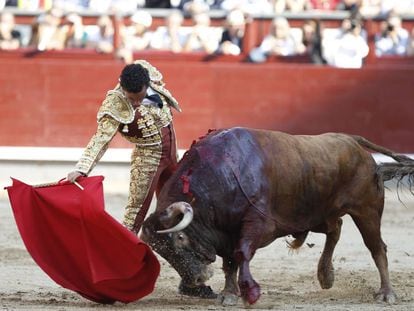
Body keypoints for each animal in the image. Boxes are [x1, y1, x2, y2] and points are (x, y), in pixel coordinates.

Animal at [140, 128, 414, 306]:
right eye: (162, 251)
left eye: (180, 239)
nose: (196, 280)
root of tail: (353, 142)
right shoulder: (228, 231)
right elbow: (230, 262)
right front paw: (229, 293)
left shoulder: (257, 224)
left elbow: (241, 254)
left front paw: (249, 292)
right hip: (315, 214)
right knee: (335, 229)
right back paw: (326, 276)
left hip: (367, 211)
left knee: (376, 247)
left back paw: (386, 294)